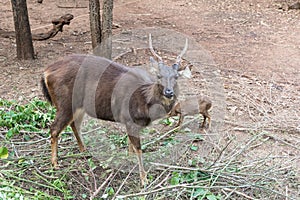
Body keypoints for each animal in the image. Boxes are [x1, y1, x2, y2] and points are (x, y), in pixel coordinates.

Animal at [41, 34, 189, 186]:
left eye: (176, 76)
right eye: (159, 76)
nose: (169, 92)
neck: (144, 101)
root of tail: (46, 72)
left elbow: (130, 145)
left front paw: (129, 160)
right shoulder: (130, 119)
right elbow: (138, 148)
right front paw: (144, 179)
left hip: (78, 106)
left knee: (74, 124)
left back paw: (84, 150)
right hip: (65, 103)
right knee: (54, 128)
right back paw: (55, 163)